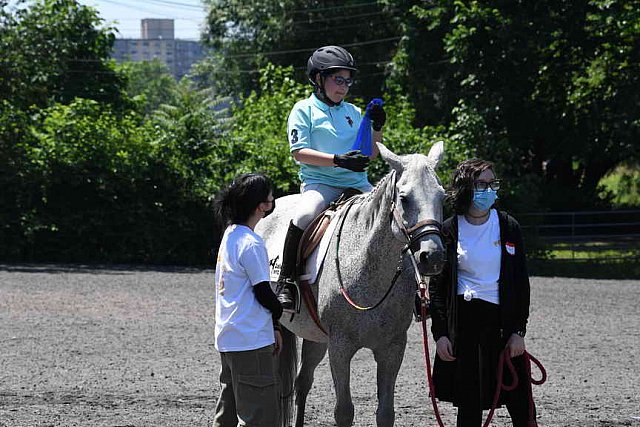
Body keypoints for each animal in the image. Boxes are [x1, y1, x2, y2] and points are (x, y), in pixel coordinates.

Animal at [255, 143, 444, 427]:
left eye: (442, 197)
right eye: (404, 198)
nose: (432, 256)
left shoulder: (392, 349)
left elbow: (385, 412)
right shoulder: (340, 348)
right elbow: (344, 411)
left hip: (316, 337)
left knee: (302, 382)